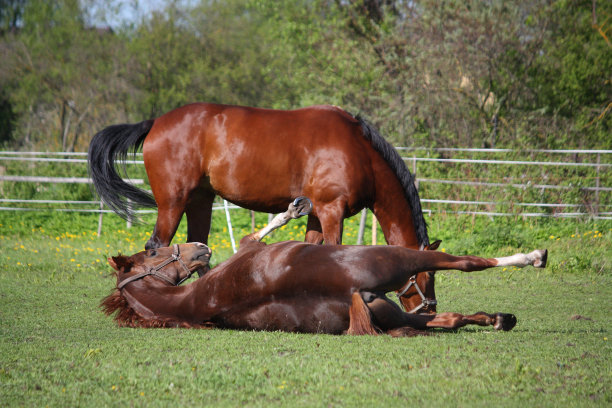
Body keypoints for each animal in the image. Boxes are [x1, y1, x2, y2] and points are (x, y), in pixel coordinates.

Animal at [89, 103, 436, 312]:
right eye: (429, 274)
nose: (430, 308)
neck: (358, 151)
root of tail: (156, 122)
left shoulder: (315, 214)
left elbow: (310, 250)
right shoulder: (330, 211)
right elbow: (333, 250)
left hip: (201, 201)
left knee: (198, 248)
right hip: (173, 203)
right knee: (157, 245)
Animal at [103, 199, 548, 336]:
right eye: (153, 256)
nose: (199, 248)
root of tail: (349, 291)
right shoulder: (248, 248)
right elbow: (255, 233)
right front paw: (292, 208)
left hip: (398, 314)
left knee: (448, 319)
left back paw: (500, 319)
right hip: (399, 259)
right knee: (467, 263)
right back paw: (532, 258)